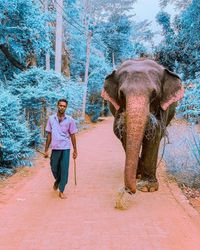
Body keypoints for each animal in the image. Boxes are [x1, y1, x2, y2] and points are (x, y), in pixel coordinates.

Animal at [101, 58, 184, 195]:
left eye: (154, 94)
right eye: (121, 94)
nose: (129, 191)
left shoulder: (162, 108)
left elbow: (155, 133)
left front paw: (147, 188)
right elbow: (123, 133)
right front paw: (138, 176)